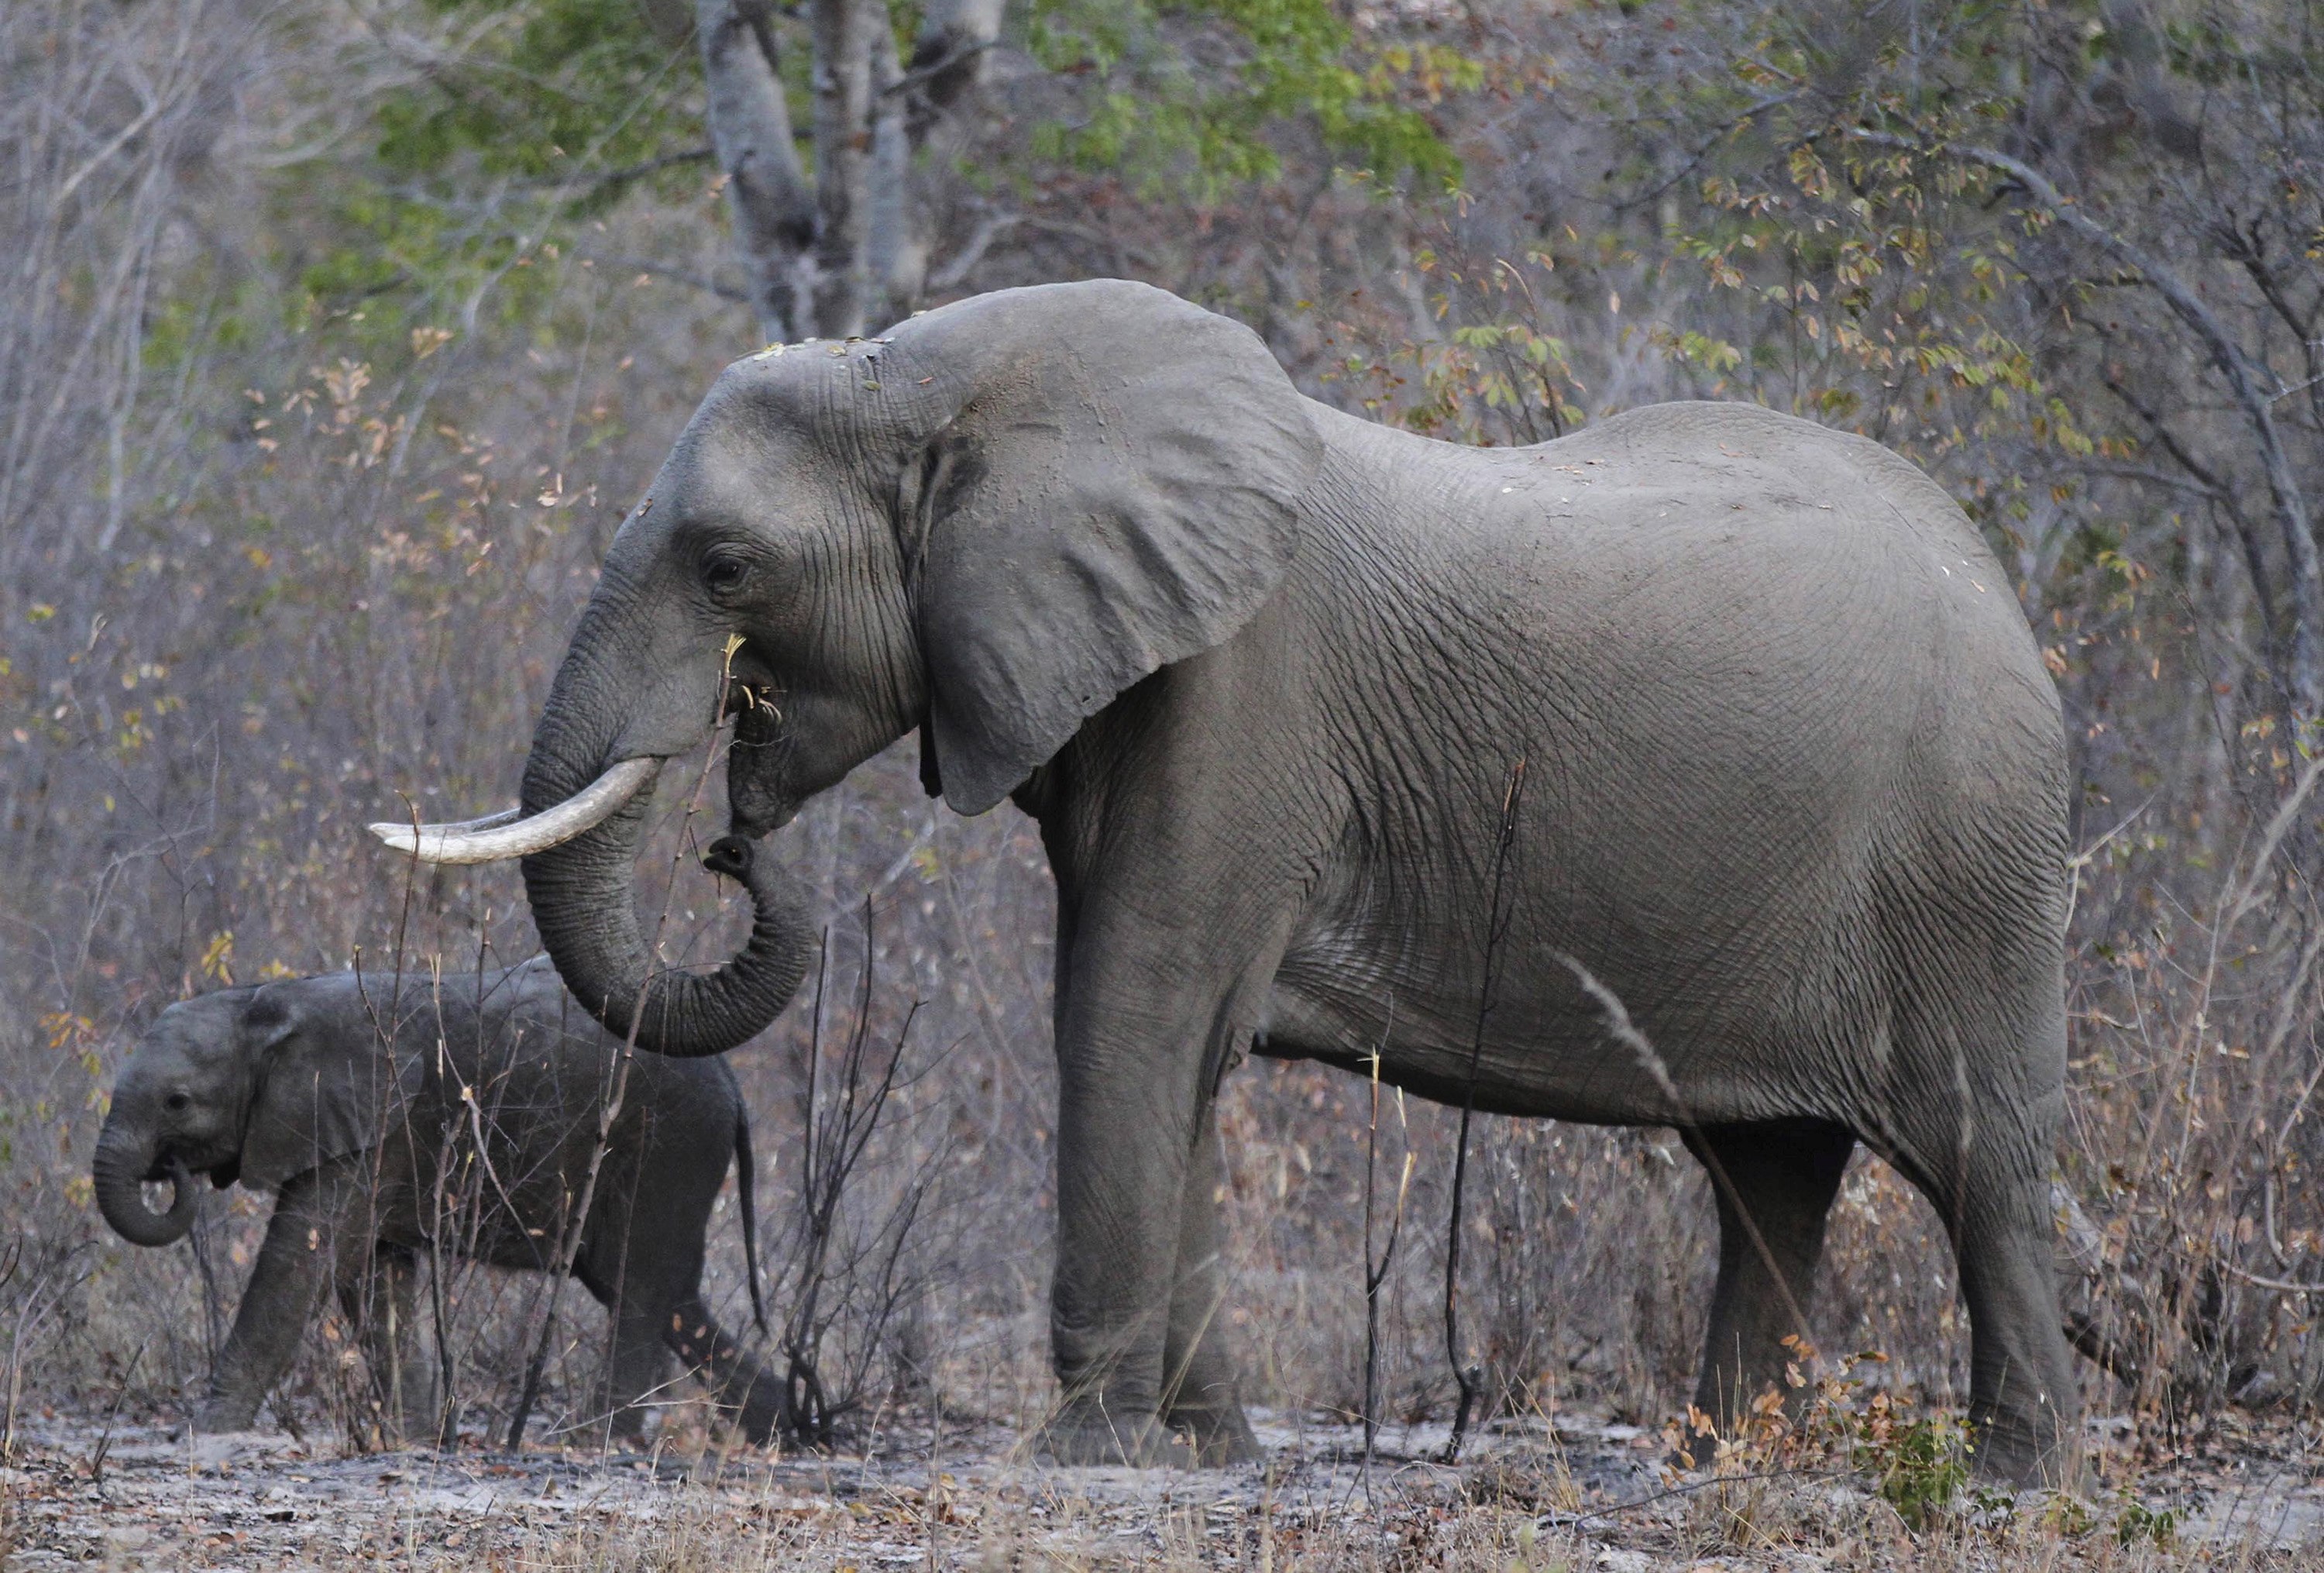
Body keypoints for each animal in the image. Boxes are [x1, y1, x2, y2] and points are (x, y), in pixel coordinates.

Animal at [95, 952, 781, 1440]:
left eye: (177, 1102)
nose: (171, 1170)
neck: (263, 1003)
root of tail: (734, 1082)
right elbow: (372, 1274)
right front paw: (417, 1439)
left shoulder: (373, 1122)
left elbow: (301, 1260)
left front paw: (206, 1433)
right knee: (667, 1297)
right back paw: (780, 1432)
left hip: (667, 1146)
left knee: (639, 1290)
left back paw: (598, 1441)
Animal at [381, 278, 2092, 1468]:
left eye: (729, 568)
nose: (733, 831)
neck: (942, 371)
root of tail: (2004, 584)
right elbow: (1165, 1037)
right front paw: (1211, 1452)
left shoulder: (1246, 691)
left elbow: (1129, 1010)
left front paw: (1084, 1456)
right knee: (1770, 1172)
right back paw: (1721, 1459)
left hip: (1972, 854)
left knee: (1980, 1156)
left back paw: (2013, 1478)